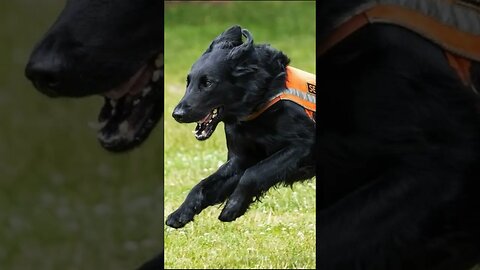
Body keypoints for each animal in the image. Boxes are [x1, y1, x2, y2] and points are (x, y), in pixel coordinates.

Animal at [165, 25, 316, 229]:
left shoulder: (302, 145)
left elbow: (252, 174)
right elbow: (203, 185)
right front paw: (180, 213)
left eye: (208, 83)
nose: (177, 114)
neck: (260, 101)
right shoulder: (241, 159)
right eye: (188, 82)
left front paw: (232, 208)